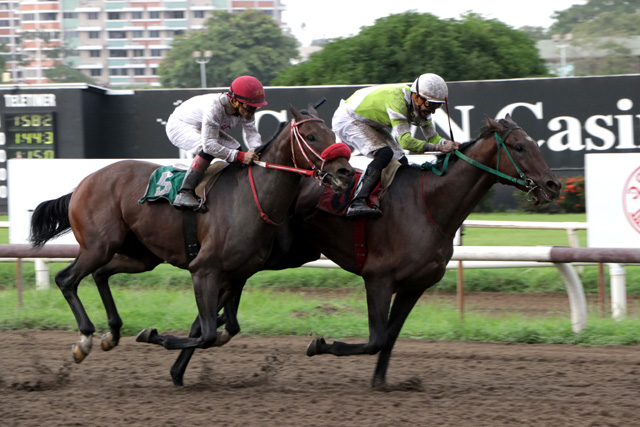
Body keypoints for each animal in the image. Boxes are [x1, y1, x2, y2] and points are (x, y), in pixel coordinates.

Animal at [28, 105, 356, 366]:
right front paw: (154, 335)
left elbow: (229, 328)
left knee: (101, 274)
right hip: (98, 246)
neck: (250, 198)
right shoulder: (203, 269)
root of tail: (83, 184)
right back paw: (85, 339)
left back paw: (113, 332)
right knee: (66, 279)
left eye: (332, 134)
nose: (345, 173)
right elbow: (208, 333)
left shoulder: (237, 274)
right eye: (311, 137)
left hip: (141, 256)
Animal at [169, 113, 560, 388]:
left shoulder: (415, 286)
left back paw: (179, 366)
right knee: (208, 301)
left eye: (534, 143)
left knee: (208, 309)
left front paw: (381, 382)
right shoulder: (378, 278)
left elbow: (389, 338)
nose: (553, 185)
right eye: (520, 147)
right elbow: (374, 339)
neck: (430, 205)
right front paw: (319, 344)